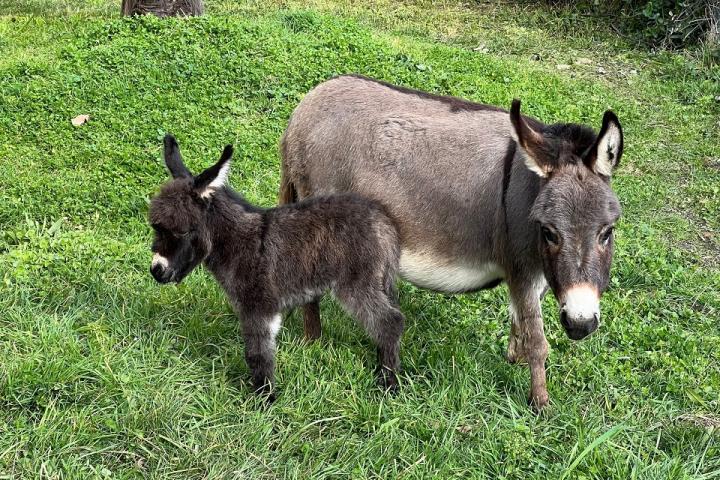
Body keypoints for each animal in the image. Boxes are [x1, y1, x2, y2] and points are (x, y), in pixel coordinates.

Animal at [150, 135, 404, 398]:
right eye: (156, 227)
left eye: (183, 231)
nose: (156, 271)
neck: (238, 243)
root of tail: (383, 221)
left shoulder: (258, 307)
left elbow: (257, 353)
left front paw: (264, 399)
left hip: (357, 284)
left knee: (390, 323)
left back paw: (388, 384)